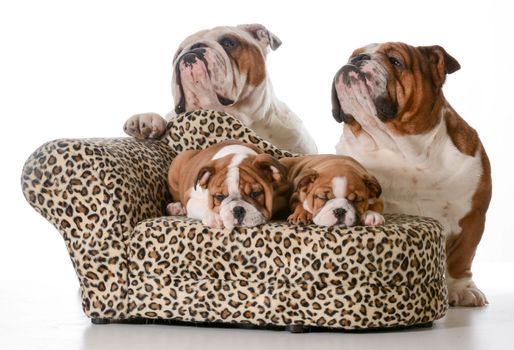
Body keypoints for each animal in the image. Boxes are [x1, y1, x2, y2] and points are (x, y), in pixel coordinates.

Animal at [330, 42, 490, 308]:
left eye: (396, 61)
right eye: (352, 56)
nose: (356, 60)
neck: (403, 149)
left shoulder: (472, 218)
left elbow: (462, 258)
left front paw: (463, 289)